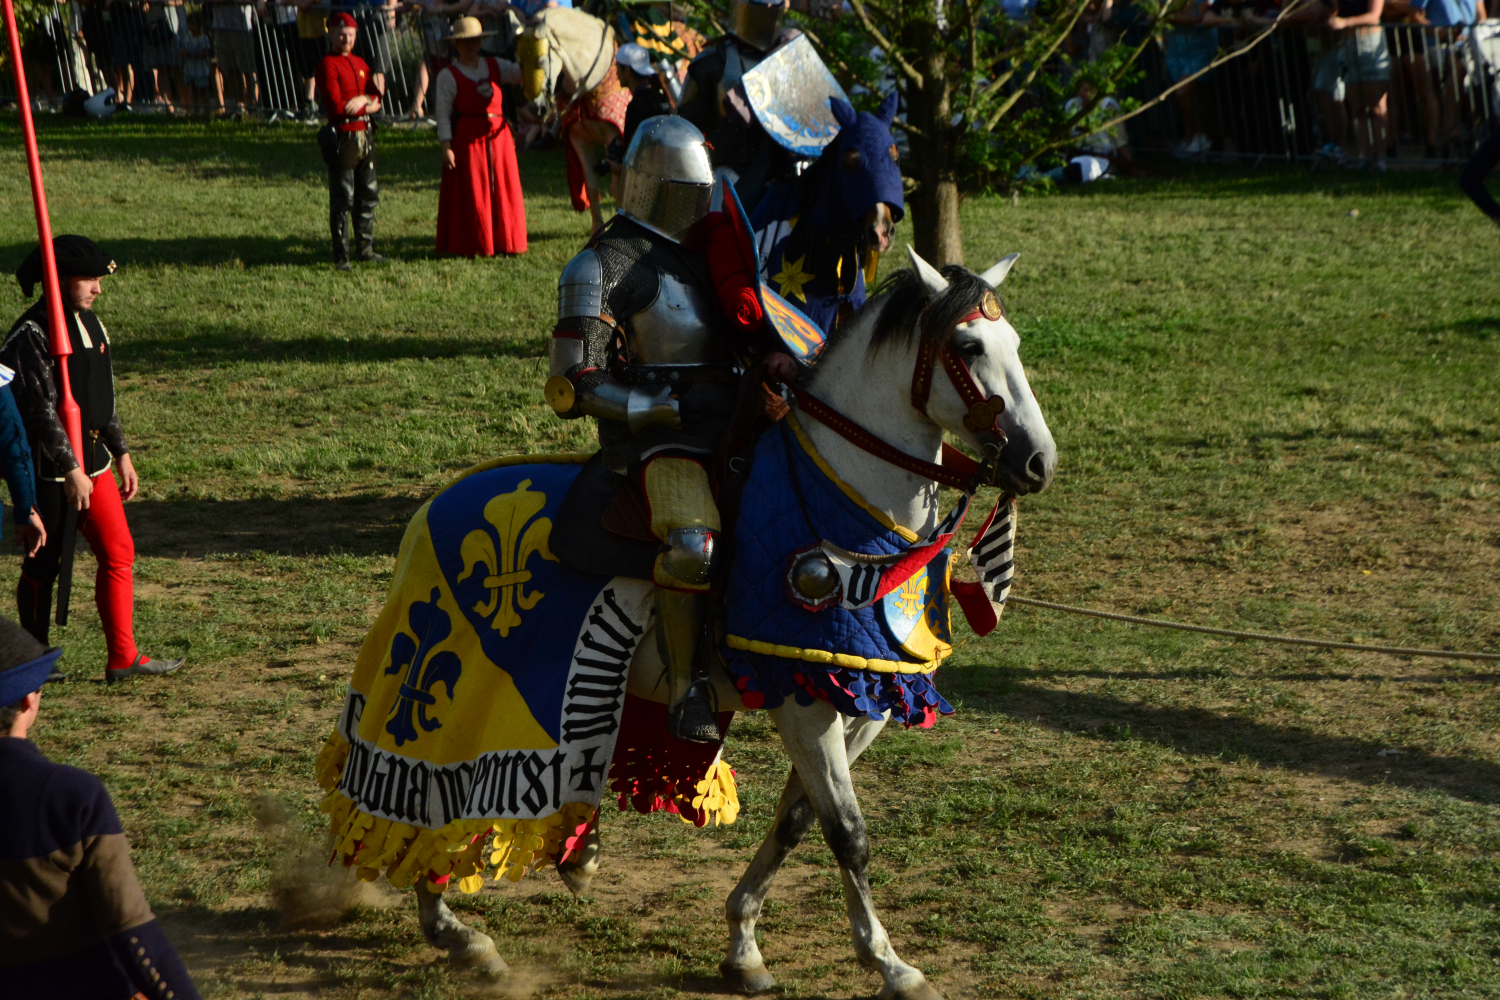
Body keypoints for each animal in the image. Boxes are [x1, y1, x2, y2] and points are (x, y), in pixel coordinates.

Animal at [417, 244, 1062, 1000]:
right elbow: (848, 832)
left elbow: (798, 819)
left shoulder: (861, 698)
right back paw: (452, 928)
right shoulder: (803, 702)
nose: (1038, 462)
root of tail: (435, 505)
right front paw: (890, 963)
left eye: (1013, 341)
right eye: (967, 347)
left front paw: (744, 943)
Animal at [519, 6, 624, 233]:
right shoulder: (579, 139)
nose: (538, 108)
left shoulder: (615, 138)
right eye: (519, 62)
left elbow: (617, 187)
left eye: (541, 61)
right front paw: (596, 231)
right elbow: (592, 187)